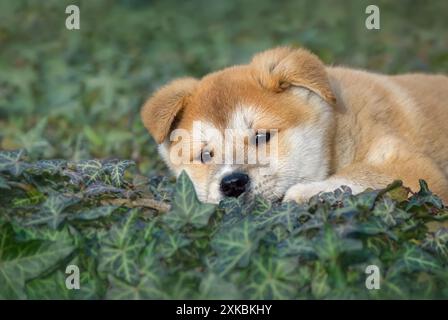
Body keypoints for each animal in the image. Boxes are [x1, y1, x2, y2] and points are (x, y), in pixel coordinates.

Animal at [142, 46, 448, 204]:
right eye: (205, 155)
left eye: (262, 137)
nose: (232, 184)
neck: (339, 131)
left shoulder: (413, 169)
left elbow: (361, 177)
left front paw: (306, 192)